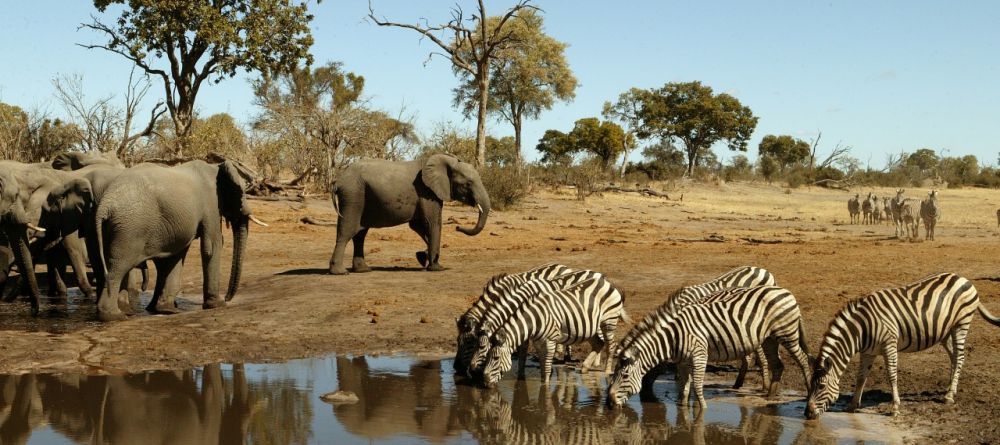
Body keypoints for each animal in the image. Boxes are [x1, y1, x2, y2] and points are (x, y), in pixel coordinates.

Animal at [93, 160, 266, 321]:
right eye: (242, 192)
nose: (228, 298)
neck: (216, 166)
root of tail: (105, 205)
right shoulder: (211, 203)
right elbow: (212, 246)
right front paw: (217, 305)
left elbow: (175, 256)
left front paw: (164, 309)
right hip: (130, 228)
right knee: (118, 267)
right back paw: (114, 316)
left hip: (119, 228)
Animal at [328, 154, 491, 275]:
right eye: (468, 183)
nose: (457, 227)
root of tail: (338, 180)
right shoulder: (426, 192)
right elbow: (432, 223)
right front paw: (437, 268)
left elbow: (417, 226)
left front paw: (422, 258)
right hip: (353, 195)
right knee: (347, 231)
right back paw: (340, 272)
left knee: (360, 234)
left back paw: (363, 270)